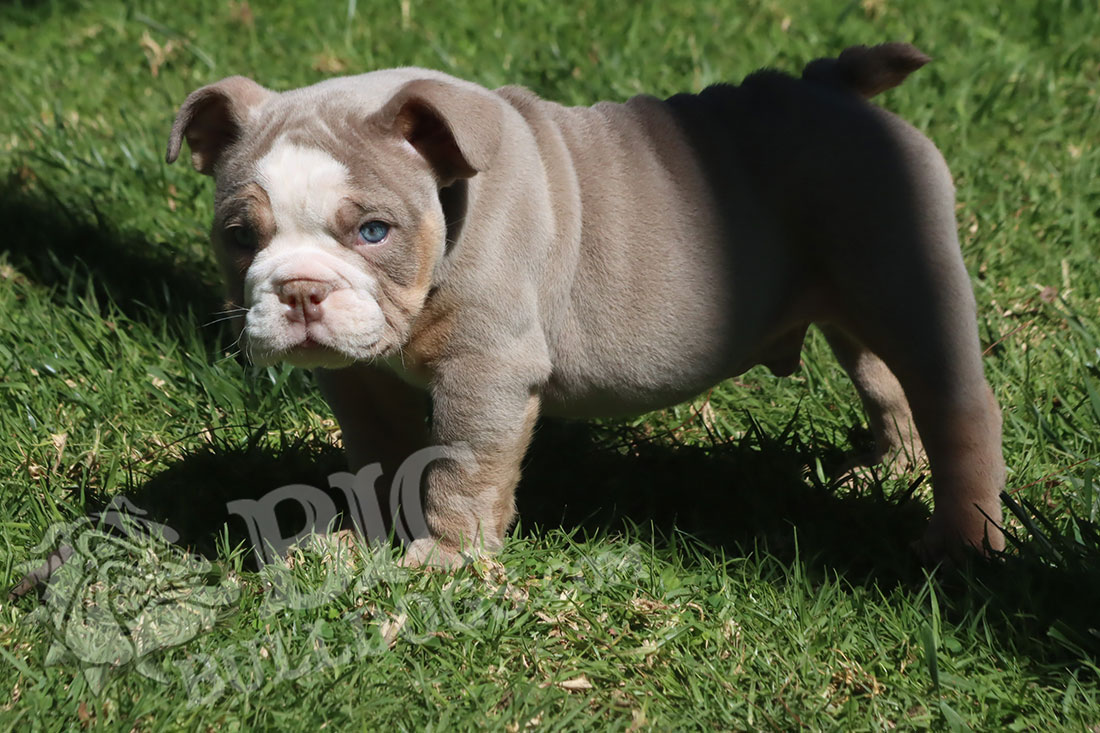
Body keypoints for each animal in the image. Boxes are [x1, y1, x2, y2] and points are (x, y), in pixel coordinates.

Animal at [167, 42, 1006, 567]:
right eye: (240, 236)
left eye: (373, 230)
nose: (300, 287)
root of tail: (834, 85)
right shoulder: (360, 380)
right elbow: (380, 455)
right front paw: (365, 540)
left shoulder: (487, 372)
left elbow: (460, 466)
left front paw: (445, 556)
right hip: (852, 295)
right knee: (888, 383)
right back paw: (891, 471)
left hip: (902, 280)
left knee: (957, 403)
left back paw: (961, 540)